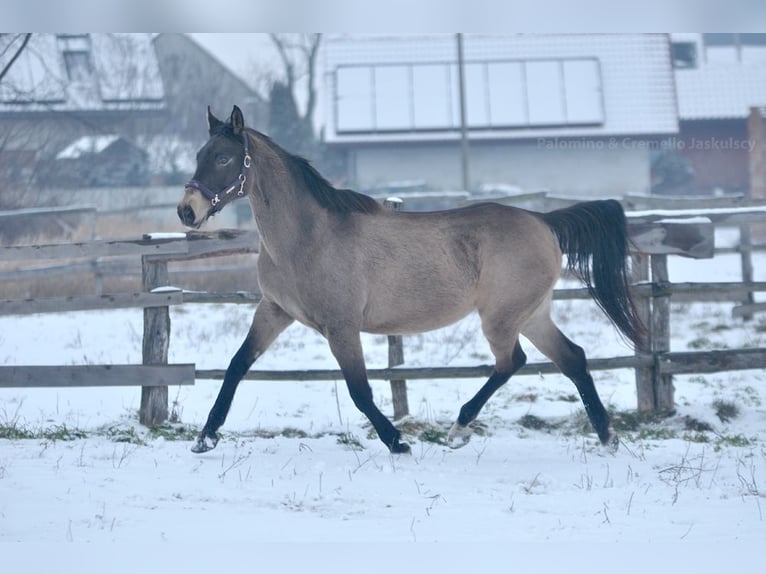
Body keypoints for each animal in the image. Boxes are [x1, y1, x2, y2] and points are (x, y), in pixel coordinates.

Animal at [178, 105, 645, 455]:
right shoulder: (274, 311)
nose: (186, 210)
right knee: (572, 358)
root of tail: (544, 221)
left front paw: (397, 442)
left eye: (223, 158)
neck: (306, 237)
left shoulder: (341, 326)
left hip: (502, 317)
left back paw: (459, 430)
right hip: (532, 314)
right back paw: (606, 438)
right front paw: (205, 438)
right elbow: (237, 365)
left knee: (512, 361)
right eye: (200, 154)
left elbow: (360, 391)